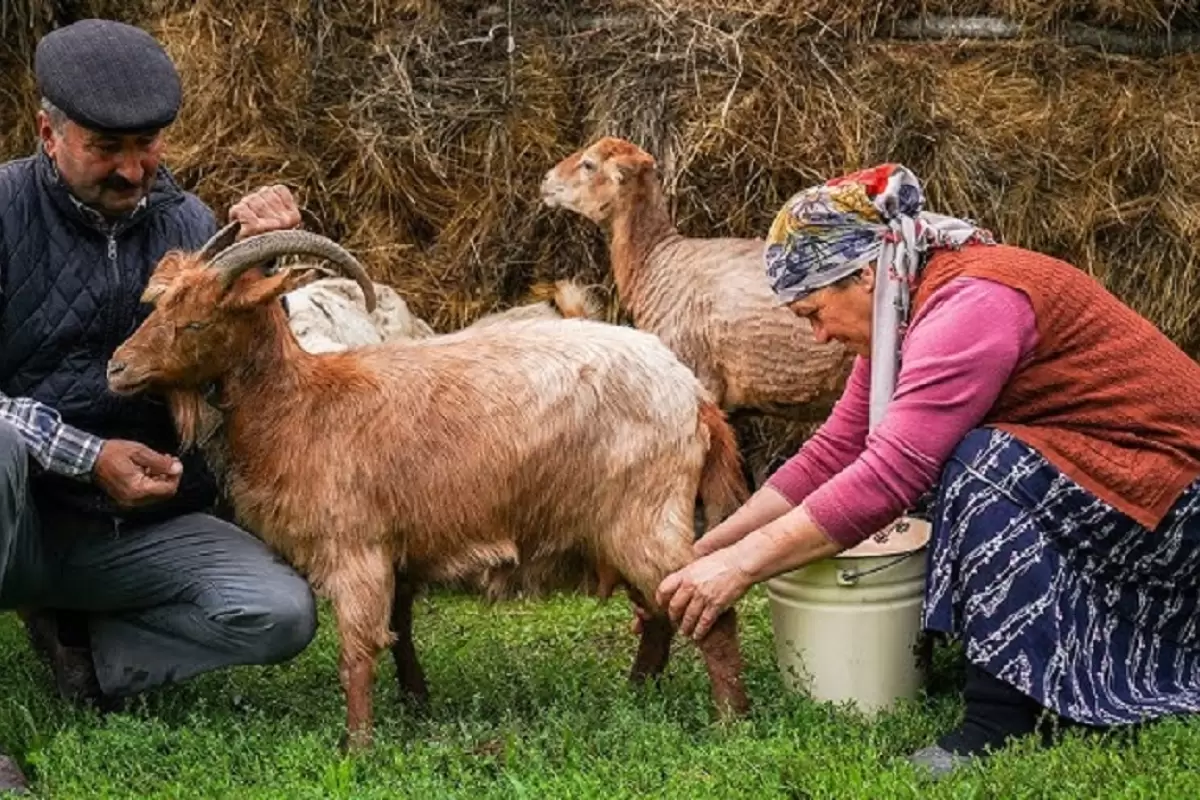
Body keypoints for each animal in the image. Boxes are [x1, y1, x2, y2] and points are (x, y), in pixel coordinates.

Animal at [110, 225, 748, 753]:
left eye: (198, 321)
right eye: (159, 306)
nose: (117, 369)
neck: (304, 406)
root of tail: (695, 399)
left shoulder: (356, 549)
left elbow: (357, 651)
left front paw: (358, 747)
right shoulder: (398, 551)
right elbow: (400, 633)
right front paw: (415, 704)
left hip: (644, 518)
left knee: (707, 610)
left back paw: (729, 722)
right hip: (615, 529)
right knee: (659, 614)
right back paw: (638, 693)